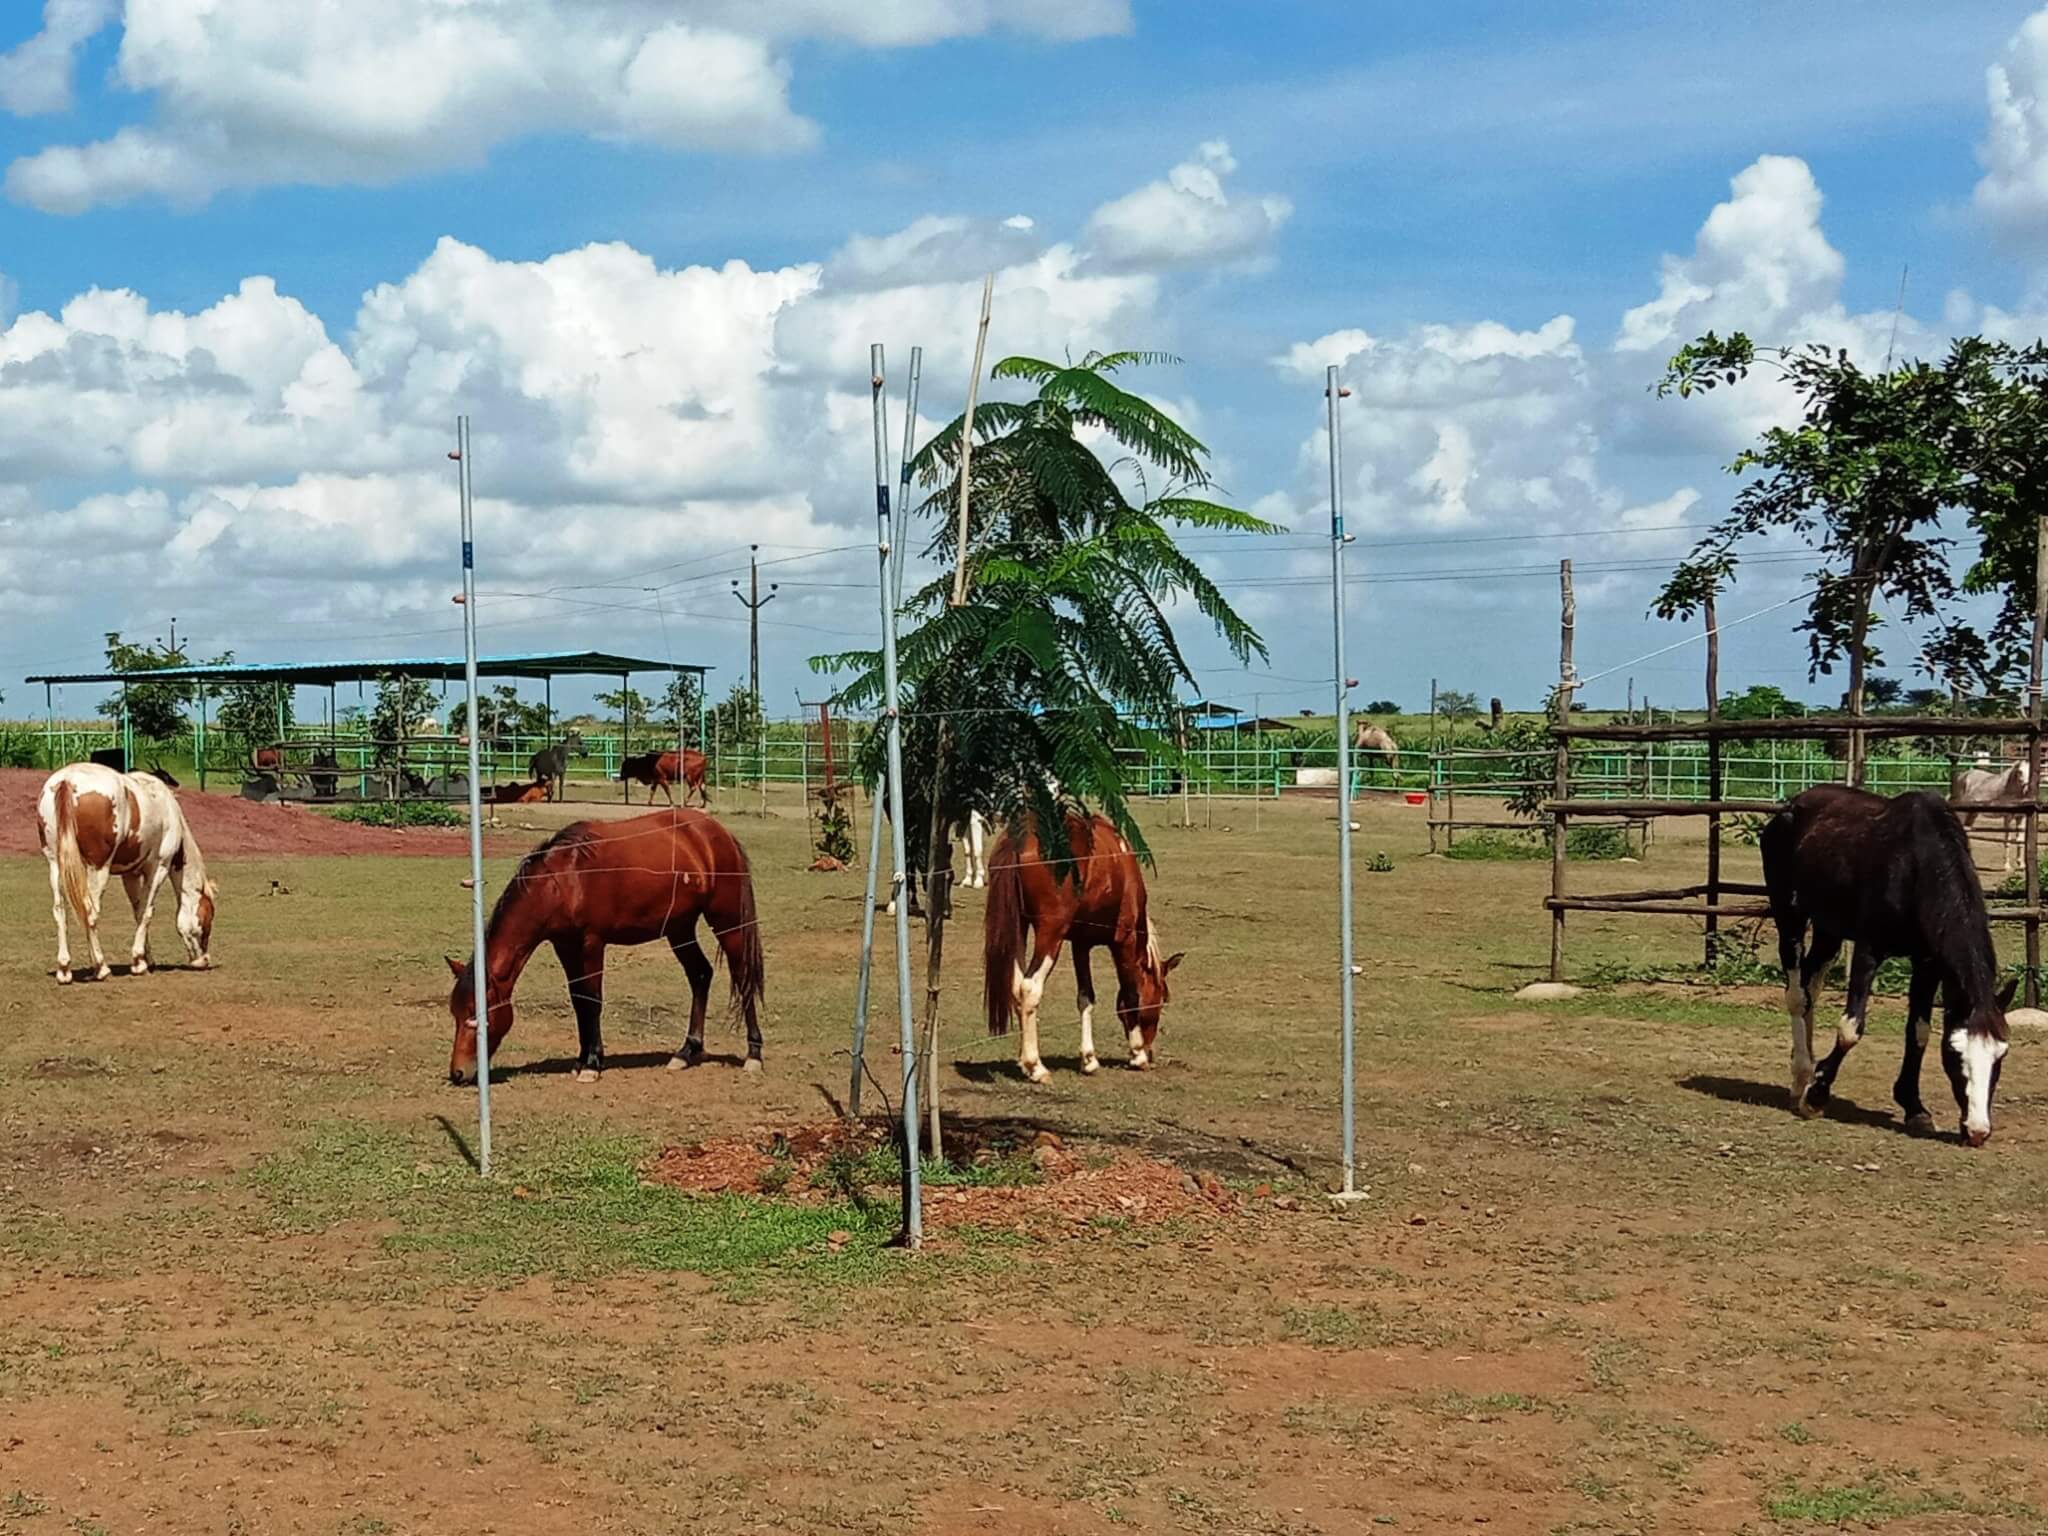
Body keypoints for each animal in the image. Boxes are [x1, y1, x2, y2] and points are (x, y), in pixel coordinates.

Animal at [35, 765, 218, 987]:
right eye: (208, 918)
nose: (204, 960)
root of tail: (67, 780)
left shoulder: (130, 874)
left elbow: (138, 911)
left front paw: (145, 959)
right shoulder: (159, 868)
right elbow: (147, 912)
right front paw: (138, 961)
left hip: (55, 865)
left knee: (60, 912)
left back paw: (64, 969)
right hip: (98, 868)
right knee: (90, 912)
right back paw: (101, 967)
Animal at [444, 811, 765, 1089]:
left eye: (474, 1013)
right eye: (455, 1012)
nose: (458, 1073)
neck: (562, 880)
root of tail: (718, 833)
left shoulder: (591, 943)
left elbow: (592, 1000)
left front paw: (592, 1064)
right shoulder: (565, 946)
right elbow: (578, 1000)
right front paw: (581, 1059)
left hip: (727, 922)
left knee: (743, 978)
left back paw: (753, 1055)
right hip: (679, 929)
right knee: (700, 975)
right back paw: (686, 1052)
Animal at [978, 819, 1187, 1081]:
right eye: (1161, 999)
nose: (1150, 1053)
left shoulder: (1080, 944)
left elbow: (1086, 997)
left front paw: (1089, 1060)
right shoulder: (1124, 941)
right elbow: (1130, 995)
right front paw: (1137, 1054)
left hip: (1018, 927)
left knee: (1016, 987)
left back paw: (1025, 1064)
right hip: (1050, 934)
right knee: (1029, 988)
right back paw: (1035, 1067)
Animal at [1761, 794, 2015, 1146]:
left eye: (2000, 1055)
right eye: (1955, 1053)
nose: (1977, 1131)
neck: (1915, 865)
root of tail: (1791, 806)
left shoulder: (1927, 962)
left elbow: (1918, 1033)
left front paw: (1915, 1108)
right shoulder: (1868, 950)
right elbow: (1850, 1029)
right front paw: (1816, 1096)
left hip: (1828, 929)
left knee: (1811, 984)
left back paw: (1803, 1076)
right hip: (1789, 916)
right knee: (1798, 995)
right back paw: (1802, 1075)